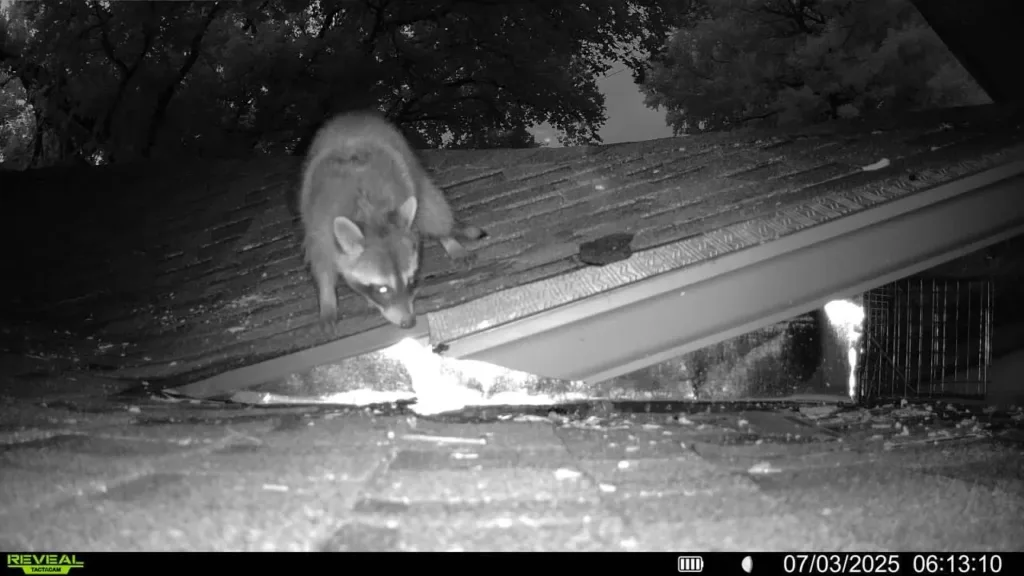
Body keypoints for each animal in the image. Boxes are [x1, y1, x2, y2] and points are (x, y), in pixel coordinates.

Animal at [298, 111, 484, 329]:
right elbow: (321, 263)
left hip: (415, 174)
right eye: (383, 290)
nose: (409, 323)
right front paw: (327, 299)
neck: (370, 214)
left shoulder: (402, 190)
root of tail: (353, 115)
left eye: (411, 281)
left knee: (432, 211)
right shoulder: (318, 224)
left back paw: (448, 239)